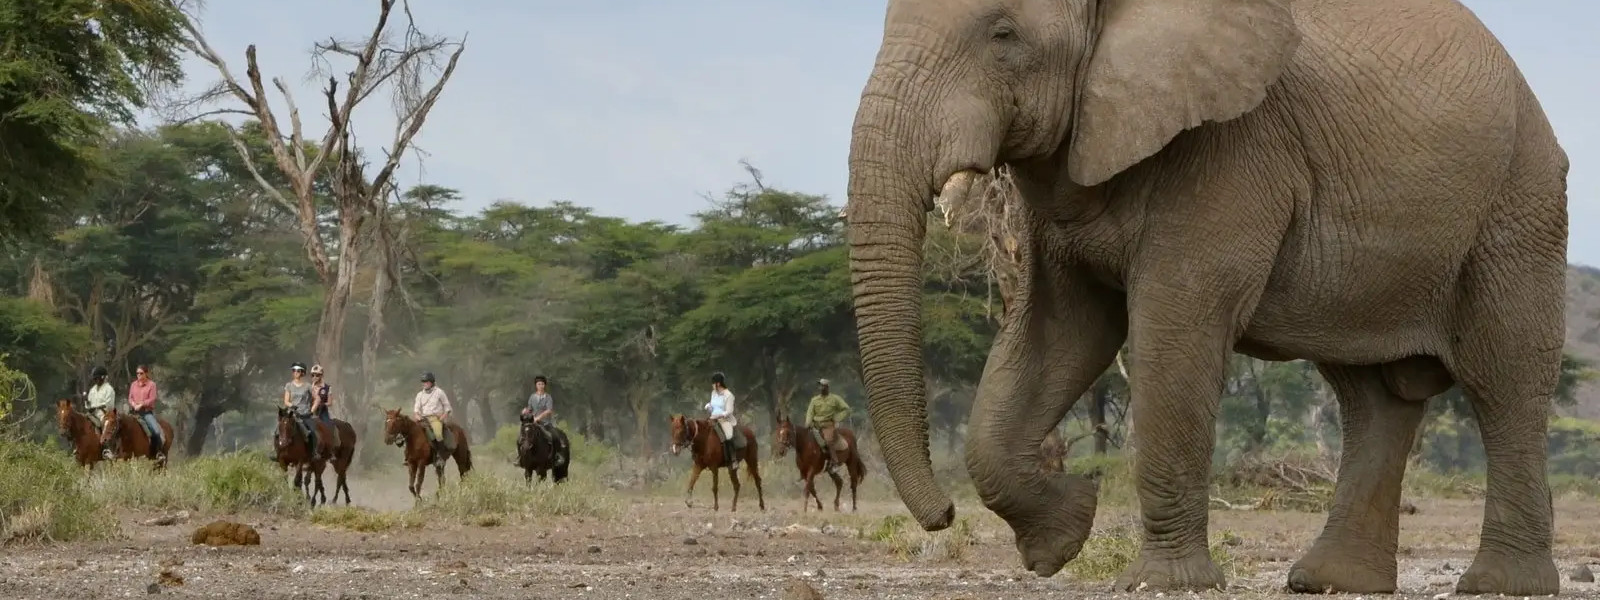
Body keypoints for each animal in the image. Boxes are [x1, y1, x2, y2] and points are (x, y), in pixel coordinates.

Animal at [844, 0, 1568, 595]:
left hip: (1519, 202)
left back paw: (1500, 586)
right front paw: (1062, 537)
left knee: (1503, 379)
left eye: (1003, 35)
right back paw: (1329, 582)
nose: (942, 516)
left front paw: (1159, 584)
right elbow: (1058, 334)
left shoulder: (1232, 148)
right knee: (1371, 398)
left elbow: (1172, 333)